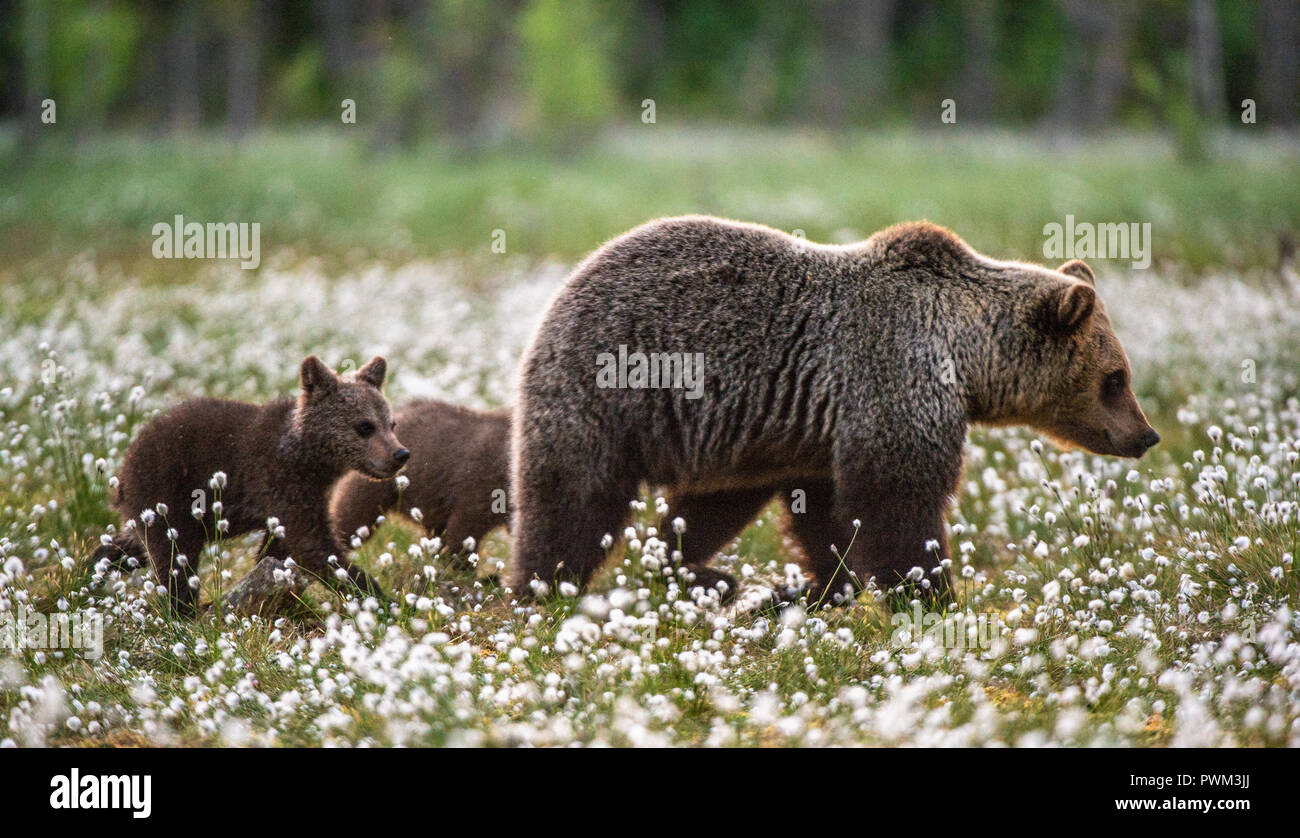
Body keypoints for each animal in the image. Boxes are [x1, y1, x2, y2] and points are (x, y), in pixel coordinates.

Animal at [93, 355, 409, 617]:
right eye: (365, 426)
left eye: (391, 423)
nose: (400, 454)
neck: (308, 458)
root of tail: (124, 467)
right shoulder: (280, 480)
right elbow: (313, 546)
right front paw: (384, 599)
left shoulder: (302, 496)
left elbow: (280, 547)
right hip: (168, 492)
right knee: (174, 558)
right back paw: (183, 610)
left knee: (137, 544)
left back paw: (96, 571)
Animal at [509, 216, 1159, 604]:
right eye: (1116, 378)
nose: (1145, 435)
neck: (966, 353)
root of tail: (565, 285)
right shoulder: (893, 377)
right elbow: (896, 503)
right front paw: (931, 595)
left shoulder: (816, 431)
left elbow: (824, 514)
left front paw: (819, 588)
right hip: (606, 389)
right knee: (574, 497)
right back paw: (544, 587)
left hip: (735, 443)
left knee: (711, 504)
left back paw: (696, 573)